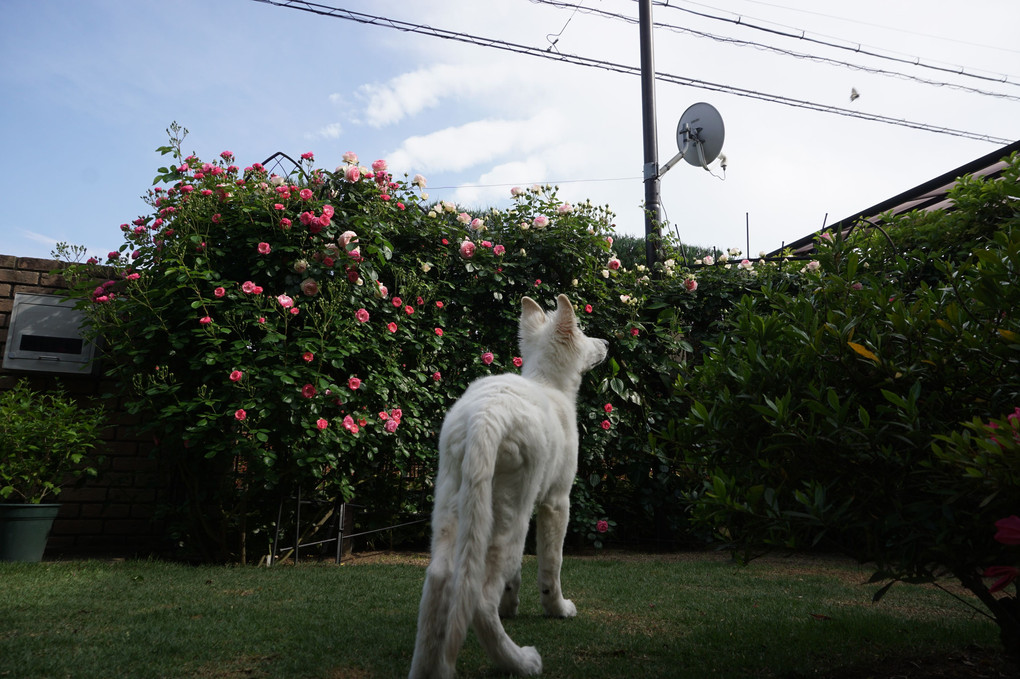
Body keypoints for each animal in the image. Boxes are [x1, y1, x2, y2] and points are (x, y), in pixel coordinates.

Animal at [405, 293, 607, 676]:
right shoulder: (556, 501)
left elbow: (515, 574)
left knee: (439, 579)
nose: (606, 343)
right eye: (585, 334)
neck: (549, 384)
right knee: (481, 598)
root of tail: (486, 417)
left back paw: (427, 667)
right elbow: (551, 564)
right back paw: (520, 661)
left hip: (456, 502)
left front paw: (510, 604)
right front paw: (557, 609)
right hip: (511, 510)